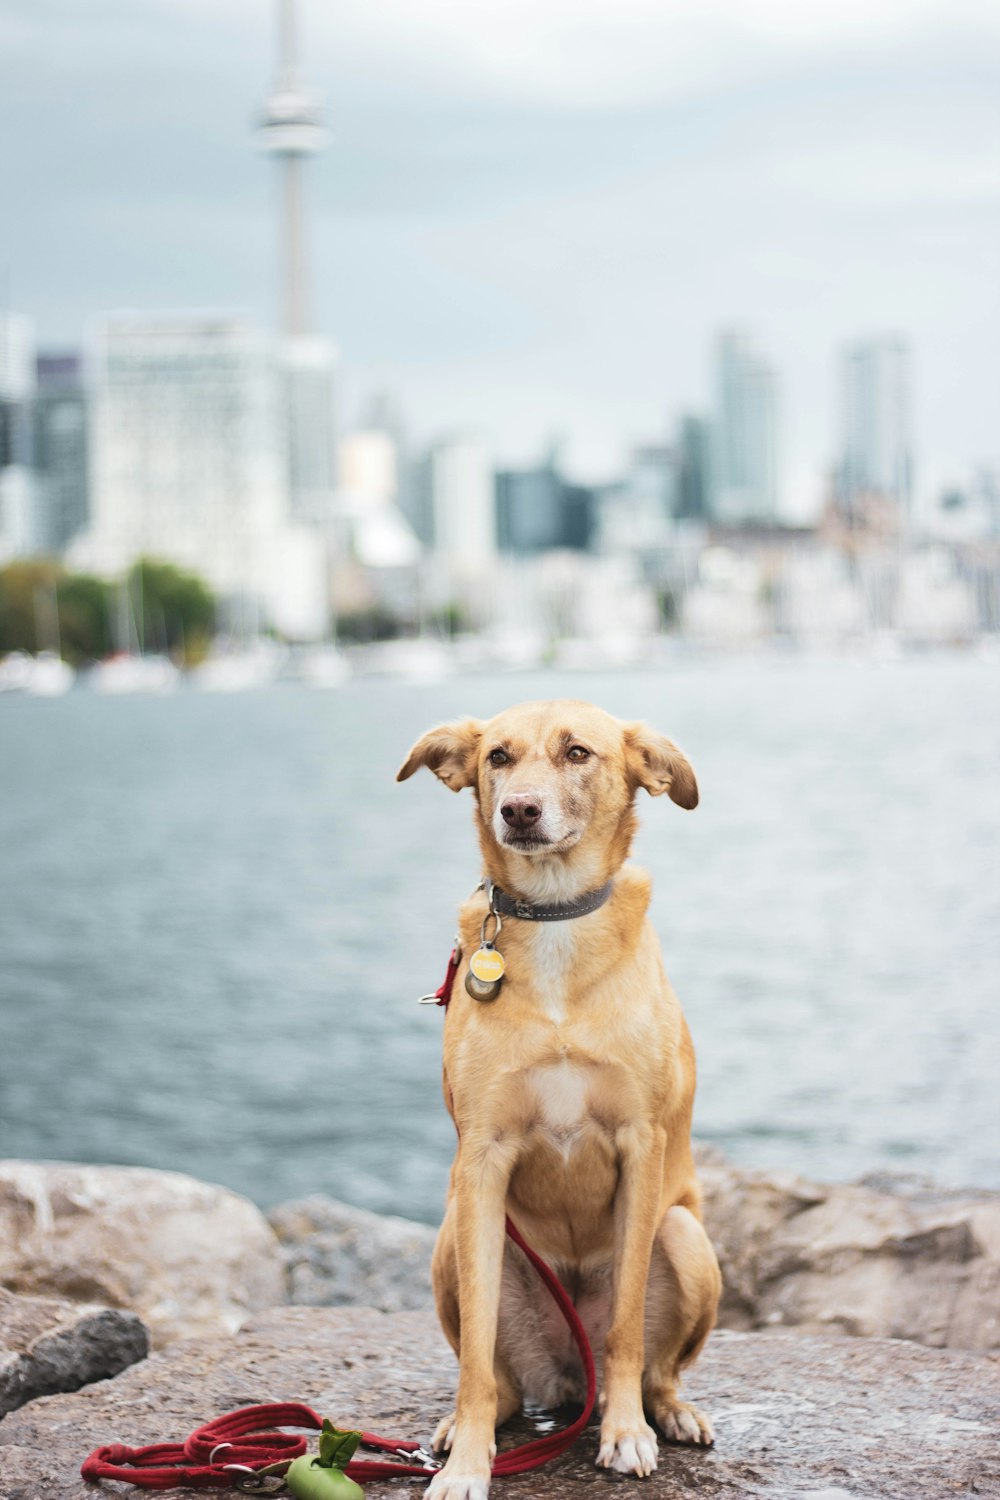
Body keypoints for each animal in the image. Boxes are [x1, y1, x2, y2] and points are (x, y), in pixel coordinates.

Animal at [398, 702, 719, 1500]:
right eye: (498, 758)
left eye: (578, 753)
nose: (518, 810)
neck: (555, 923)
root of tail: (571, 1381)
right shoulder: (482, 1159)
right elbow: (476, 1360)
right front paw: (468, 1464)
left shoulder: (640, 1144)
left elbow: (628, 1327)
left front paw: (626, 1434)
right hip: (452, 1239)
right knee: (501, 1379)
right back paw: (460, 1430)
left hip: (684, 1236)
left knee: (656, 1367)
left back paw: (667, 1412)